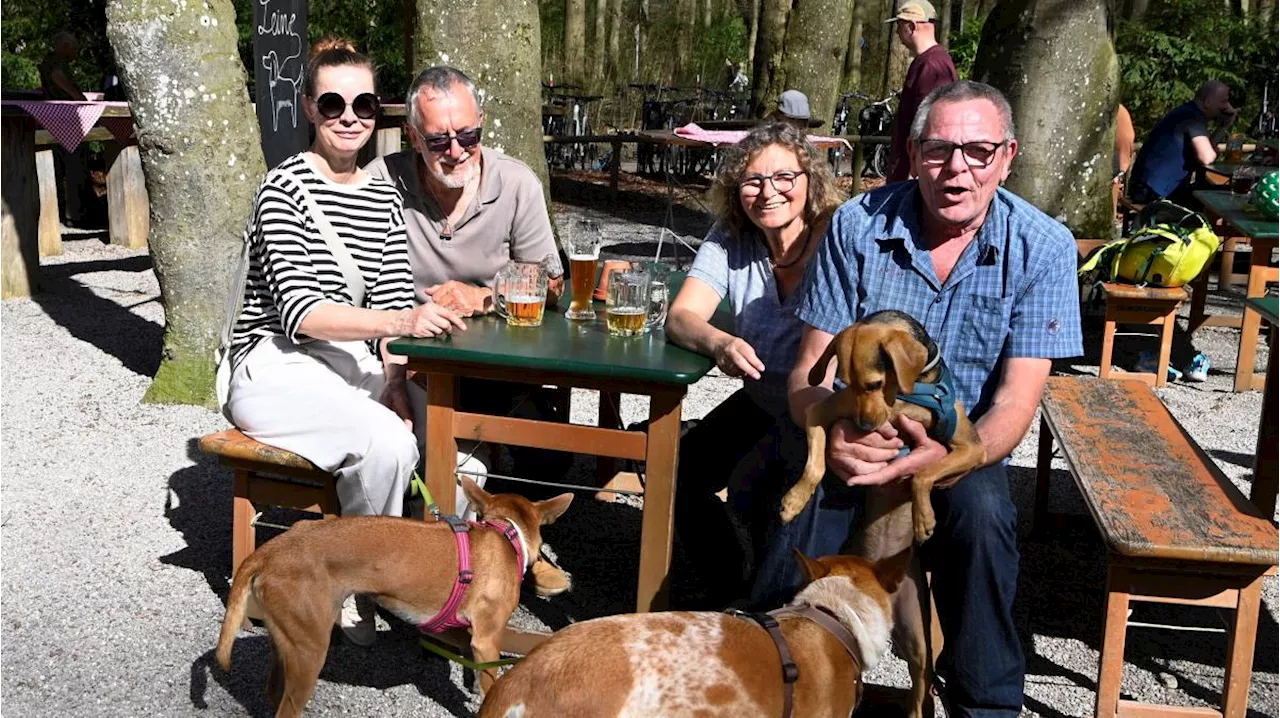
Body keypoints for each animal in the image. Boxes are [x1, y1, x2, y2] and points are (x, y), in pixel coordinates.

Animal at [213, 476, 570, 716]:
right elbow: (490, 684)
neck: (506, 533)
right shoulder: (488, 639)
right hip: (309, 652)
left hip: (286, 644)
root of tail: (271, 550)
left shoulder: (462, 633)